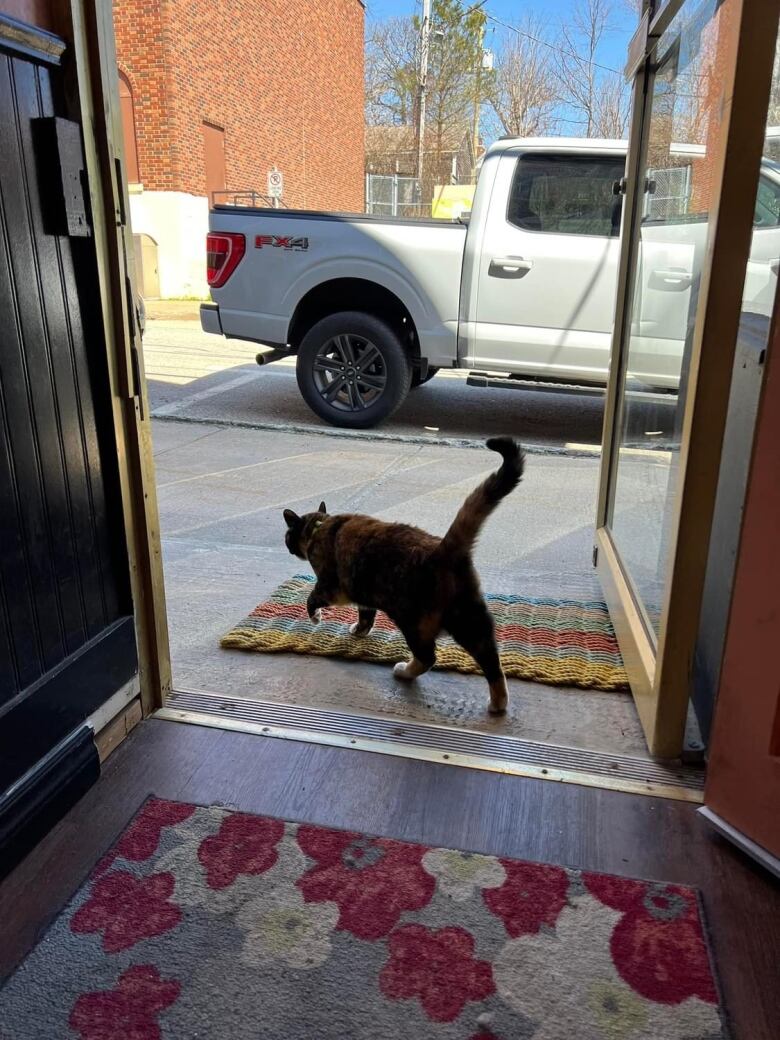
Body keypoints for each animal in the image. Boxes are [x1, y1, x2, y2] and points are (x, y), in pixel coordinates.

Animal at [280, 436, 526, 715]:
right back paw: (498, 703)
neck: (319, 527)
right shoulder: (363, 592)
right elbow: (366, 615)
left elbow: (311, 599)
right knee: (491, 661)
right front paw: (360, 630)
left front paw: (316, 618)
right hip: (469, 620)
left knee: (428, 656)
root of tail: (443, 550)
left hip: (414, 622)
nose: (285, 543)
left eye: (288, 535)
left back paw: (404, 672)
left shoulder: (331, 588)